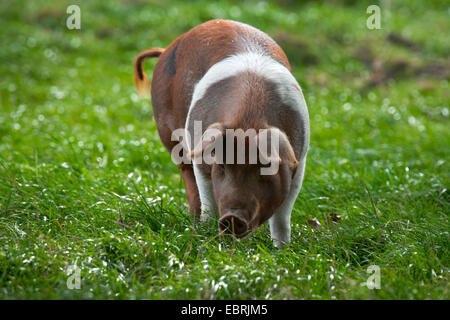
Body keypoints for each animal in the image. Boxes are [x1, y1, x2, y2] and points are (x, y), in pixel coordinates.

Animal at [134, 18, 310, 246]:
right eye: (223, 166)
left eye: (264, 167)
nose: (233, 218)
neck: (249, 116)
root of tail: (166, 49)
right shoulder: (200, 150)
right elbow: (207, 197)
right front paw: (207, 233)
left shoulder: (299, 160)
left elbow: (282, 217)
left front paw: (282, 248)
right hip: (169, 133)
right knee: (189, 180)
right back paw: (195, 223)